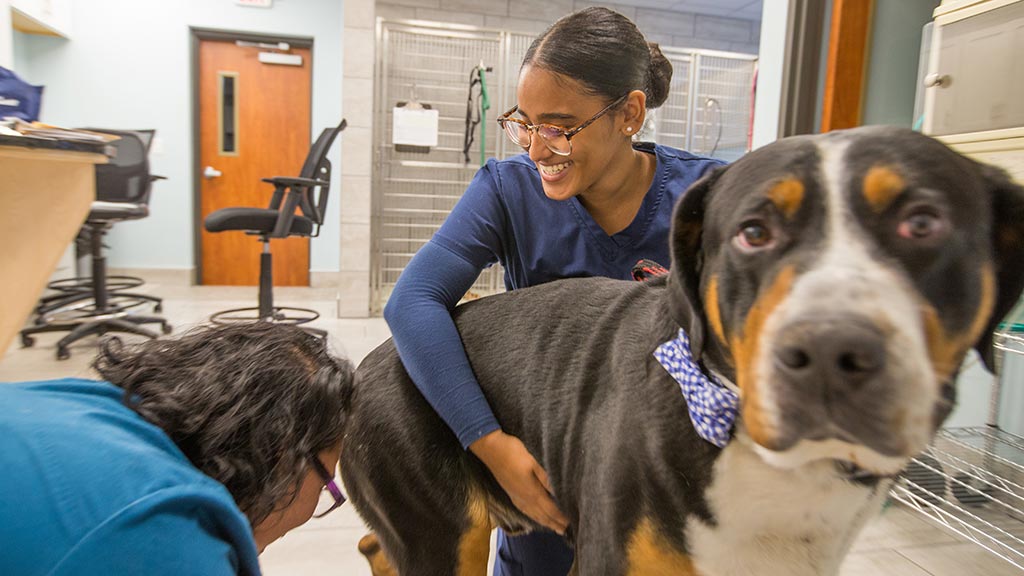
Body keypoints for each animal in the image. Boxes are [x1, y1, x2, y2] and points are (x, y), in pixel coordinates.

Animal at [337, 126, 1024, 573]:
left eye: (923, 223)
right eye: (753, 231)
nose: (831, 348)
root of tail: (367, 366)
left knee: (375, 544)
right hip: (446, 532)